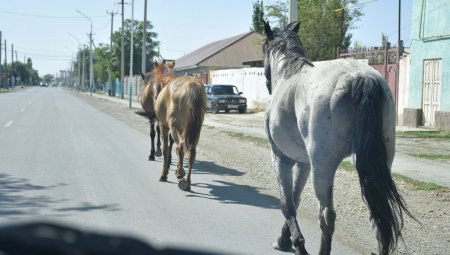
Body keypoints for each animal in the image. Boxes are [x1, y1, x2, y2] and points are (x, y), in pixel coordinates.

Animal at [151, 60, 207, 190]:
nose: (155, 96)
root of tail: (192, 86)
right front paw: (177, 169)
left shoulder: (165, 126)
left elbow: (166, 149)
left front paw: (165, 174)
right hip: (196, 131)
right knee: (191, 152)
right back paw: (188, 182)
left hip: (175, 128)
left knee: (180, 147)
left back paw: (181, 177)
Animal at [264, 20, 414, 255]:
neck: (289, 73)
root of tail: (359, 76)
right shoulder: (303, 163)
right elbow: (295, 199)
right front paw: (285, 239)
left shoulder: (281, 159)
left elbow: (287, 204)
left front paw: (293, 243)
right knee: (378, 218)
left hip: (322, 168)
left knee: (327, 216)